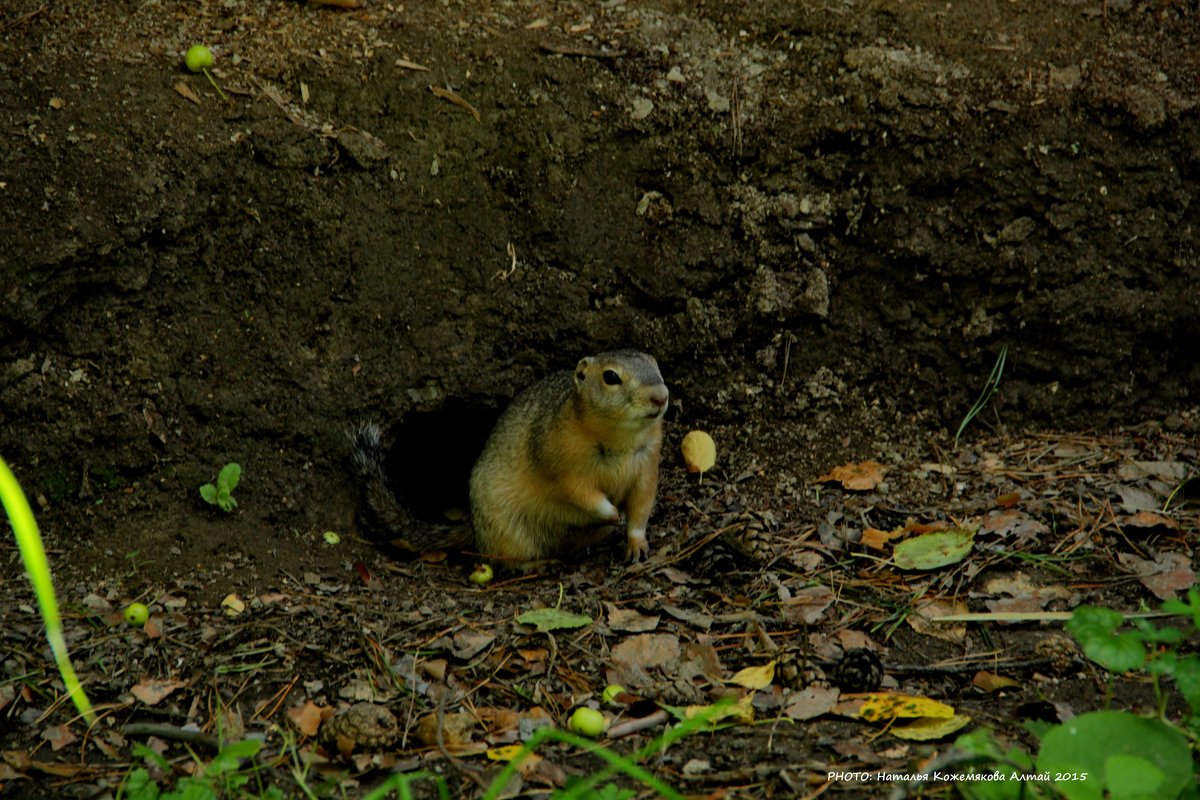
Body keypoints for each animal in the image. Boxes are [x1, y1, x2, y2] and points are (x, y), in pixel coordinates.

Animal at [350, 352, 672, 568]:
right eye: (611, 377)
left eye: (656, 364)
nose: (661, 396)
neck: (619, 437)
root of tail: (474, 525)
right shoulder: (560, 463)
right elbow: (581, 493)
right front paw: (612, 513)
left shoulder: (647, 464)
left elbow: (641, 505)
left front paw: (636, 543)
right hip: (509, 533)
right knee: (509, 561)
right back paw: (538, 564)